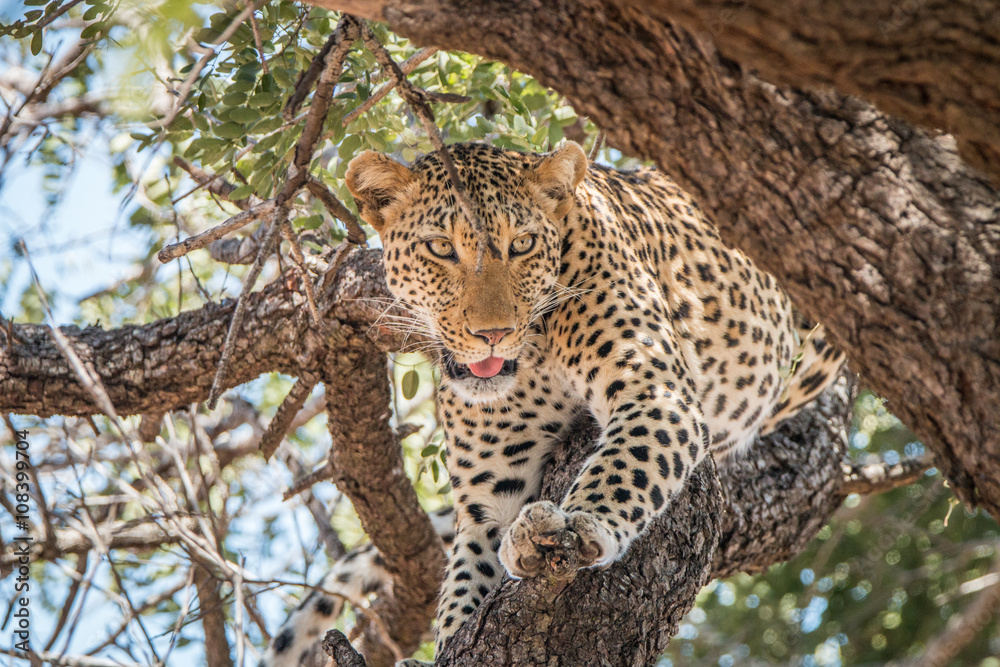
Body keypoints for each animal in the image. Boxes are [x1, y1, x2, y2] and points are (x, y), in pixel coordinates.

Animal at [260, 138, 844, 664]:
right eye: (441, 248)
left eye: (521, 245)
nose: (493, 334)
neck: (536, 355)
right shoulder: (488, 496)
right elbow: (463, 592)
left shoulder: (656, 390)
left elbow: (627, 462)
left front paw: (582, 523)